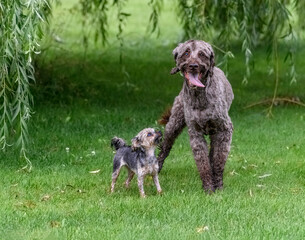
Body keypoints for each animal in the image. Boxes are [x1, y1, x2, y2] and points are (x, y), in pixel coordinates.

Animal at [157, 39, 233, 193]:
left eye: (202, 54)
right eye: (186, 53)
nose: (193, 65)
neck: (199, 97)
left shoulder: (224, 130)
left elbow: (218, 160)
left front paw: (218, 186)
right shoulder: (195, 134)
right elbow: (202, 163)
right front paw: (208, 188)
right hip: (173, 124)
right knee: (164, 148)